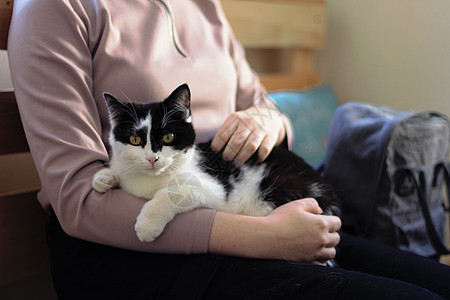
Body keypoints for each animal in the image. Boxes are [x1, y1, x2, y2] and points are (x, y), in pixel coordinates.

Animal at [92, 84, 338, 241]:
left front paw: (147, 224)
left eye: (168, 137)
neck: (151, 180)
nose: (153, 158)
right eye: (135, 139)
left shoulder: (215, 189)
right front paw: (105, 177)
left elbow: (175, 191)